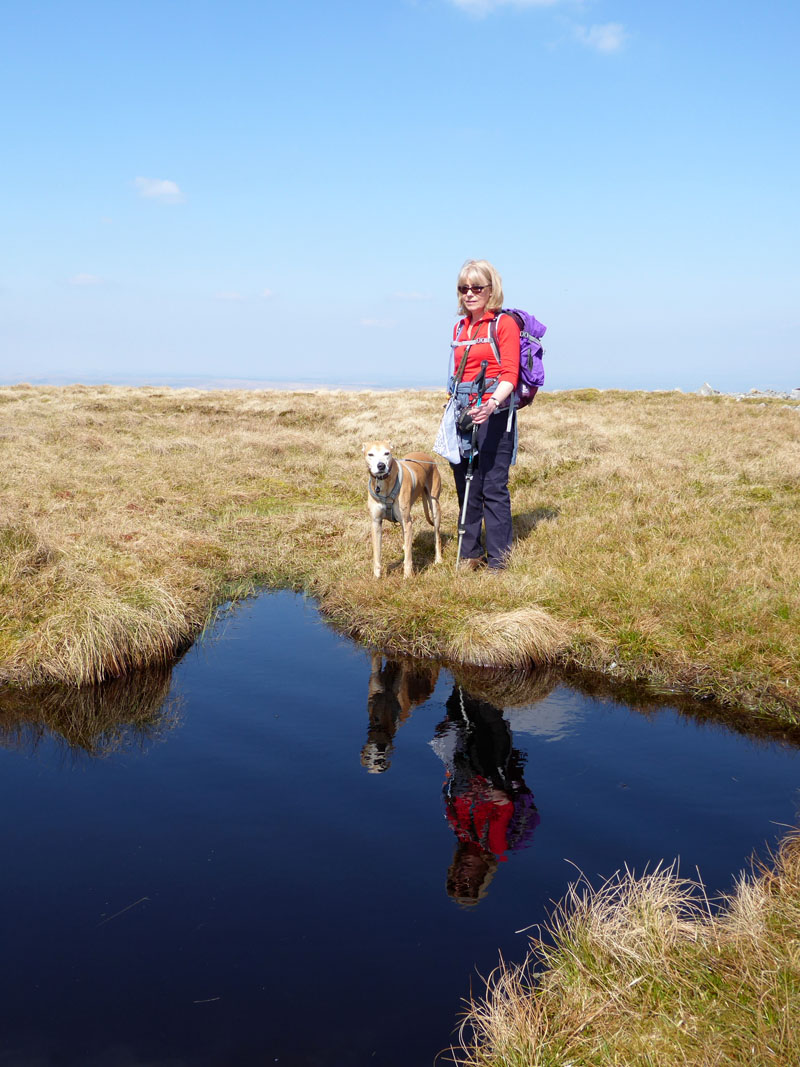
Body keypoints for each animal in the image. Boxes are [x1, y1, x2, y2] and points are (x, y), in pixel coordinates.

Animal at [364, 439, 445, 580]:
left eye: (387, 453)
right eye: (370, 454)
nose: (381, 466)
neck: (384, 484)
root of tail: (428, 457)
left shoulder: (407, 521)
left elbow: (408, 556)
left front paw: (407, 576)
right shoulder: (376, 522)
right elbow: (377, 553)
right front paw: (376, 576)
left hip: (434, 505)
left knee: (437, 536)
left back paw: (438, 559)